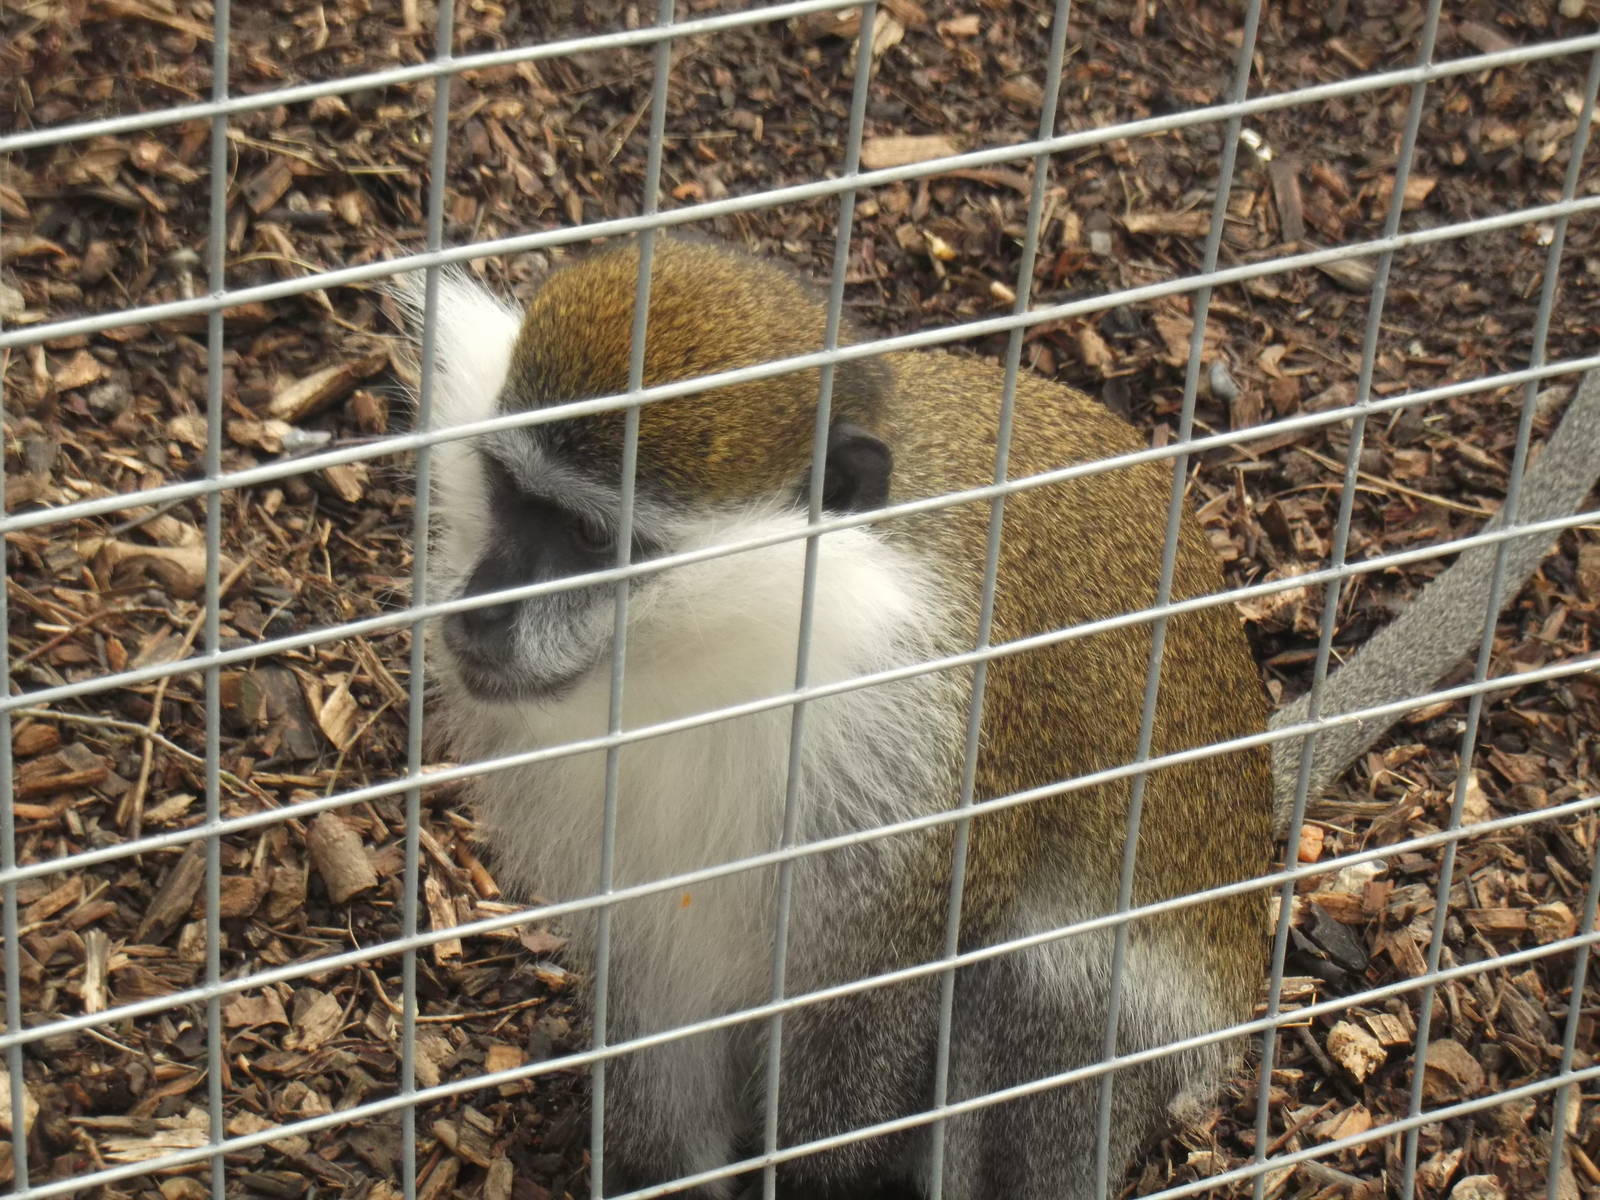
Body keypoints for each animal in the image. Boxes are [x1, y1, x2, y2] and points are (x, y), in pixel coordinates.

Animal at [393, 236, 1600, 1199]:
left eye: (592, 540)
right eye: (510, 495)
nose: (480, 609)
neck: (712, 665)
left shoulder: (913, 755)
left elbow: (892, 986)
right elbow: (656, 970)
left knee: (1022, 982)